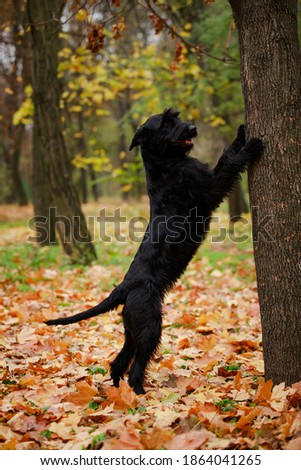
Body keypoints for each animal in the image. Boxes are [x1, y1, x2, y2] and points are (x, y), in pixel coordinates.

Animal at [45, 109, 262, 392]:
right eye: (167, 122)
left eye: (176, 116)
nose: (192, 128)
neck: (165, 165)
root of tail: (124, 288)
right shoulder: (210, 187)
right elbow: (229, 161)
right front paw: (251, 146)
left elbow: (228, 151)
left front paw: (241, 132)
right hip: (150, 327)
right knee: (136, 367)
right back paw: (139, 394)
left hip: (132, 329)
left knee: (118, 362)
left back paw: (119, 392)